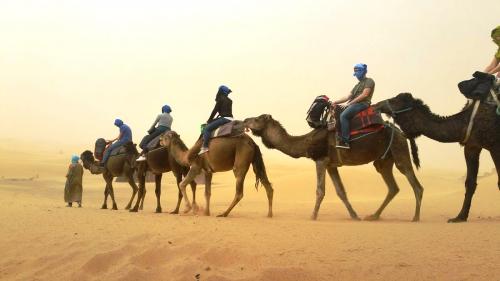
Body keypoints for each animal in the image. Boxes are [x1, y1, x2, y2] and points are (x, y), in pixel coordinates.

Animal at [244, 114, 424, 221]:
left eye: (257, 119)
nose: (245, 120)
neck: (306, 142)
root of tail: (401, 133)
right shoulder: (332, 165)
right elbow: (341, 191)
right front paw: (354, 215)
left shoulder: (321, 160)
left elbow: (320, 190)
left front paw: (313, 215)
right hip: (384, 160)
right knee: (393, 187)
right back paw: (373, 215)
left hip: (399, 150)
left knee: (415, 184)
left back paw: (415, 217)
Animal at [374, 93, 498, 222]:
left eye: (395, 100)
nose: (378, 104)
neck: (465, 121)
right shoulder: (471, 146)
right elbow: (470, 182)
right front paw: (459, 217)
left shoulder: (495, 145)